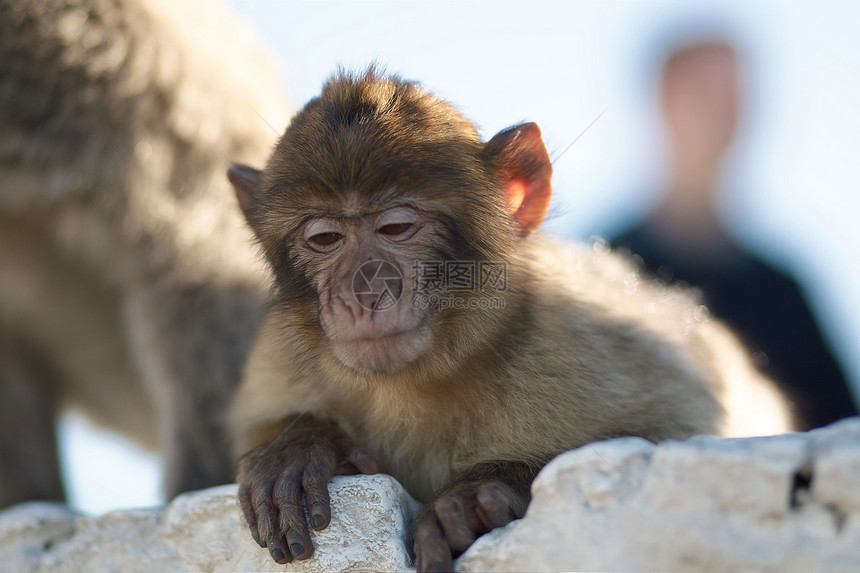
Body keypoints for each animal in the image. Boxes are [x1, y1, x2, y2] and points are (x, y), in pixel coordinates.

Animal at [227, 69, 792, 568]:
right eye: (324, 238)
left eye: (397, 227)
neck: (419, 382)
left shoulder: (582, 335)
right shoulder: (277, 353)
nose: (363, 293)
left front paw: (484, 490)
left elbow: (676, 433)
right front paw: (299, 445)